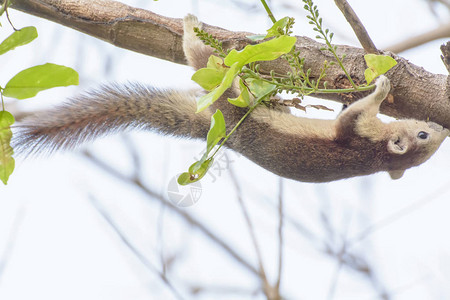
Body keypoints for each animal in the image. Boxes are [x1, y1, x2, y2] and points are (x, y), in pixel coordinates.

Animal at [12, 14, 448, 183]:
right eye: (426, 136)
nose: (441, 126)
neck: (377, 155)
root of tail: (224, 132)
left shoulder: (356, 134)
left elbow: (351, 117)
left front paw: (381, 89)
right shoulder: (357, 132)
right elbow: (348, 111)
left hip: (223, 93)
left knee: (200, 58)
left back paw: (191, 27)